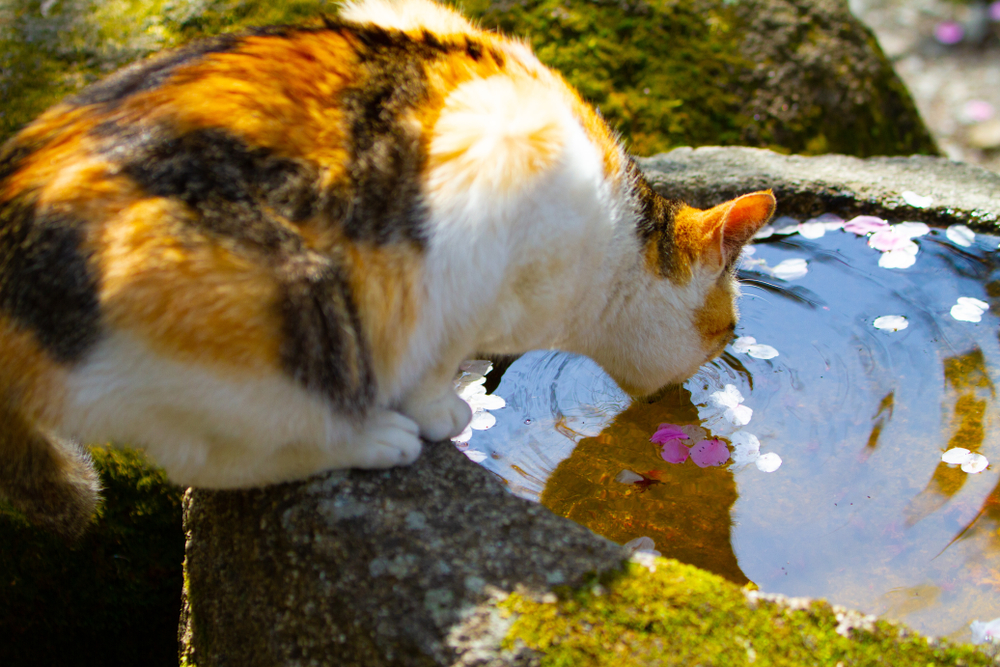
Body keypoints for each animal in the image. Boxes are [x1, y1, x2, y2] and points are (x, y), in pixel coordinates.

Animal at [0, 0, 772, 536]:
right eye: (725, 331)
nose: (706, 377)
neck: (608, 239)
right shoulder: (477, 234)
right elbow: (436, 351)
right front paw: (442, 407)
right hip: (262, 321)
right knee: (212, 458)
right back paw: (377, 439)